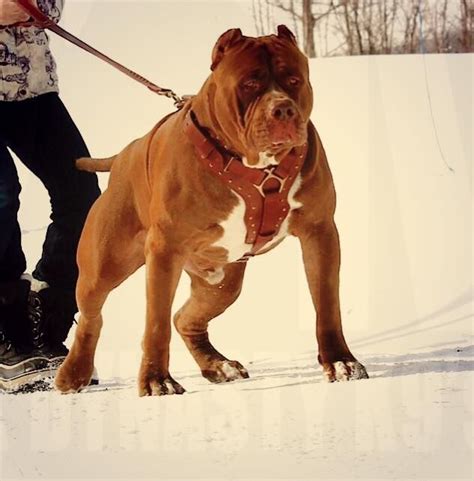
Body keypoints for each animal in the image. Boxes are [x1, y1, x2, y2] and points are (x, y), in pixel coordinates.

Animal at [53, 24, 368, 396]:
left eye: (294, 80)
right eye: (249, 83)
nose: (284, 109)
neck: (258, 168)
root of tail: (123, 155)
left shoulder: (319, 231)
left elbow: (327, 302)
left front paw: (341, 362)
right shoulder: (164, 250)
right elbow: (155, 322)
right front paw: (157, 380)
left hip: (221, 282)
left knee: (185, 318)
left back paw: (218, 365)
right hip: (102, 267)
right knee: (92, 317)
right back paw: (73, 373)